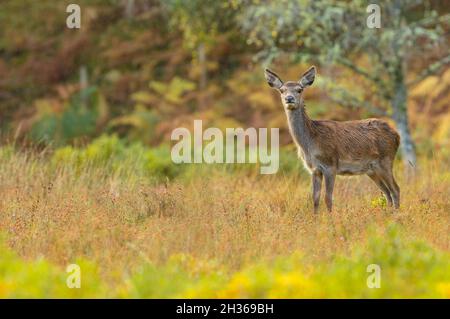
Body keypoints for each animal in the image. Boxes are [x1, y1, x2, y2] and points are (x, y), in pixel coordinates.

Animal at [264, 66, 400, 214]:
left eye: (299, 89)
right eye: (282, 90)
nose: (289, 98)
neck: (310, 143)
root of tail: (397, 135)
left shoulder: (330, 164)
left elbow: (328, 198)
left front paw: (330, 218)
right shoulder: (314, 169)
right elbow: (315, 198)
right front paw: (315, 218)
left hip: (386, 160)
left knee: (395, 189)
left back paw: (396, 215)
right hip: (372, 170)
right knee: (387, 192)